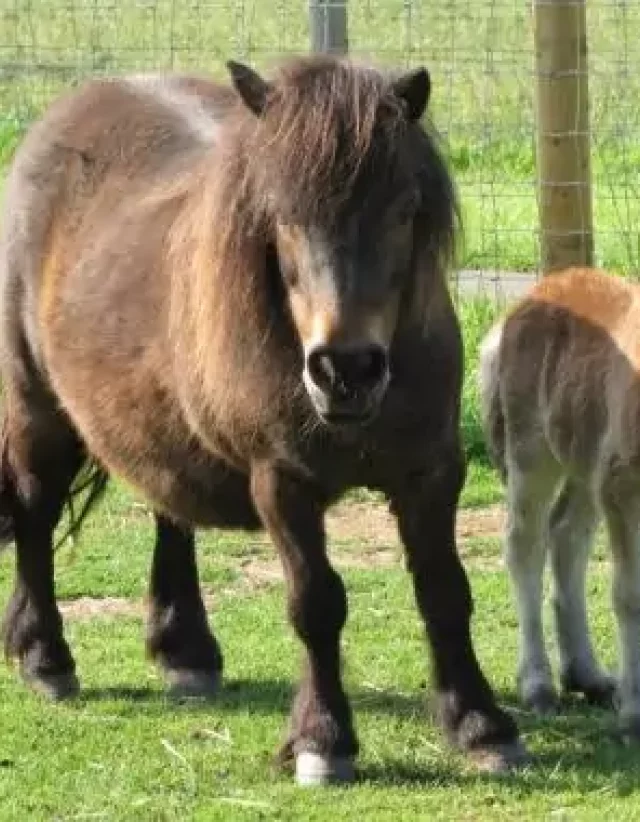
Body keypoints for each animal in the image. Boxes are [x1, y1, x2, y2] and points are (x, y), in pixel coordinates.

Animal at [0, 54, 524, 784]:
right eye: (282, 216)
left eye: (403, 210)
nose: (346, 368)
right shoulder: (282, 482)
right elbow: (317, 603)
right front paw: (322, 742)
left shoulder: (431, 472)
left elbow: (446, 592)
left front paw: (480, 726)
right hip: (38, 409)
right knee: (34, 513)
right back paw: (45, 657)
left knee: (169, 509)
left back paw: (185, 651)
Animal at [479, 266, 640, 742]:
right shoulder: (622, 487)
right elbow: (629, 596)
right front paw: (634, 715)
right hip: (533, 452)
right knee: (525, 546)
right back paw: (538, 686)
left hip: (585, 460)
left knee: (566, 536)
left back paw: (587, 676)